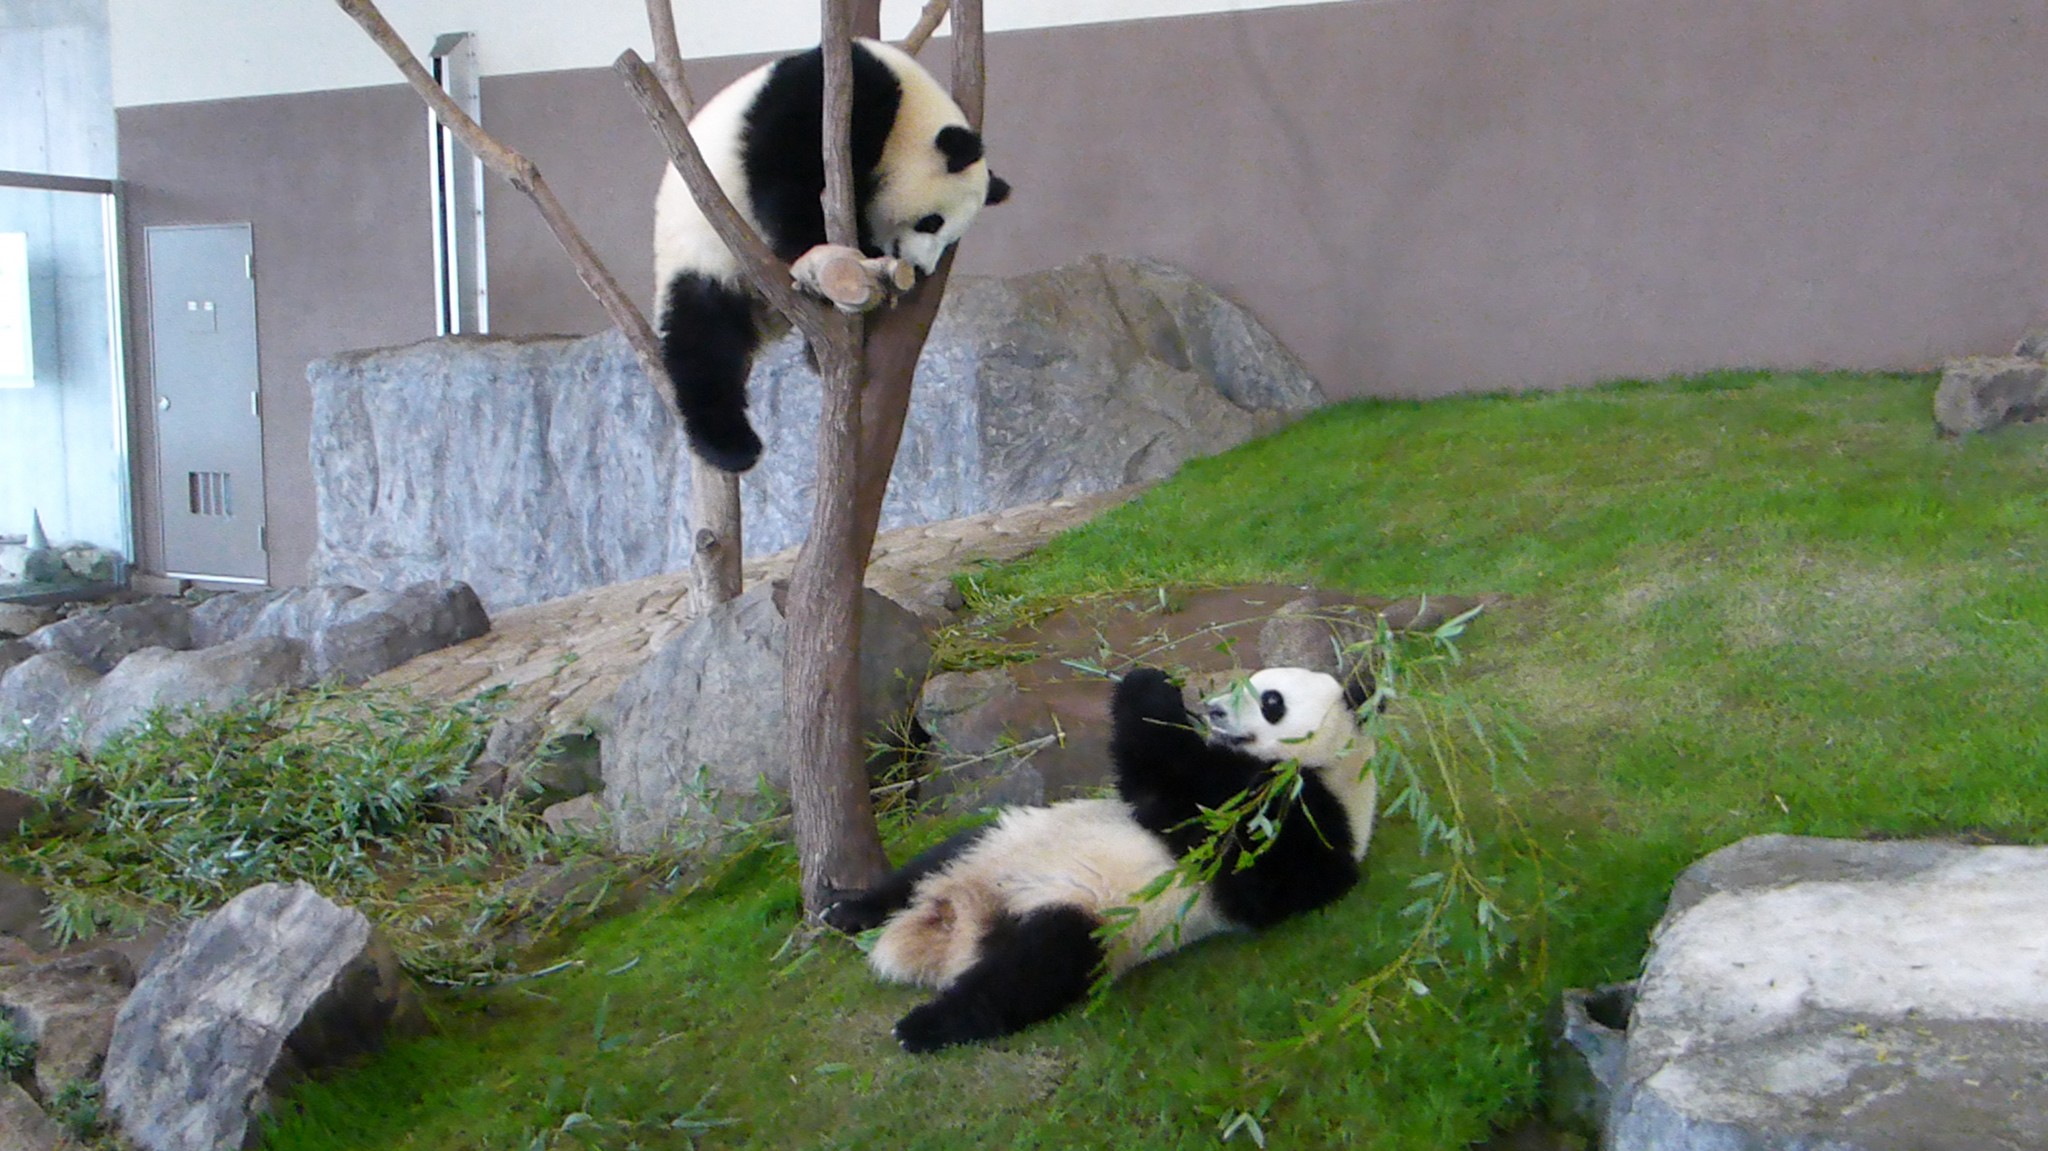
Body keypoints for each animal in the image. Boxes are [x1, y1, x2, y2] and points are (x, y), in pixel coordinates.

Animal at [652, 38, 1011, 474]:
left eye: (950, 238)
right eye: (932, 222)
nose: (922, 268)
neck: (908, 109)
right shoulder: (833, 93)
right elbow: (787, 168)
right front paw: (814, 245)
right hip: (702, 252)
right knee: (703, 342)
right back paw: (731, 445)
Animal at [823, 665, 1379, 1053]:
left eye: (1271, 701)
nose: (1215, 710)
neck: (1333, 765)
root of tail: (955, 923)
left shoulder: (1306, 830)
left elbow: (1215, 829)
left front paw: (1154, 694)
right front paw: (1156, 685)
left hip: (1089, 917)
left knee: (1033, 970)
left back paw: (922, 1026)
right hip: (995, 839)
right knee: (929, 863)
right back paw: (846, 911)